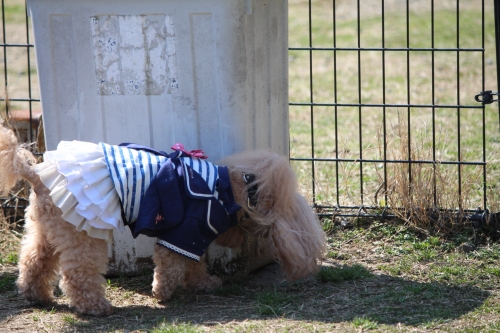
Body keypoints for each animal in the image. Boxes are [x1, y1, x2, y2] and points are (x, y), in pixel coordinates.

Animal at [0, 126, 326, 316]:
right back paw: (96, 307)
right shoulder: (185, 232)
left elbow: (195, 264)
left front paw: (205, 283)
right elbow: (171, 264)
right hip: (83, 232)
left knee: (34, 260)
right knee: (77, 275)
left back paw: (36, 296)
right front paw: (162, 293)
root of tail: (35, 173)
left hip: (47, 228)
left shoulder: (193, 238)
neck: (233, 190)